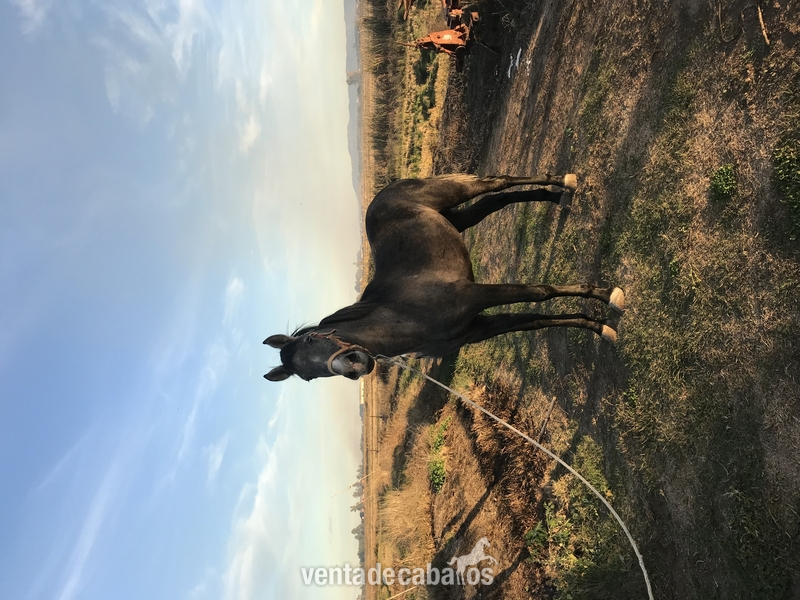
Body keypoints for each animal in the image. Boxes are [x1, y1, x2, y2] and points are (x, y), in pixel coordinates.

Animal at [263, 173, 625, 382]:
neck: (406, 315)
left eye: (312, 339)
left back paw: (566, 181)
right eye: (308, 378)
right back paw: (557, 197)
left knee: (500, 181)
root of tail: (386, 191)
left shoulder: (478, 294)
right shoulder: (479, 328)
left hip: (454, 192)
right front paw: (599, 328)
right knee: (497, 199)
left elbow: (541, 291)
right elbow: (535, 322)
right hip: (458, 217)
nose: (354, 365)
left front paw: (609, 295)